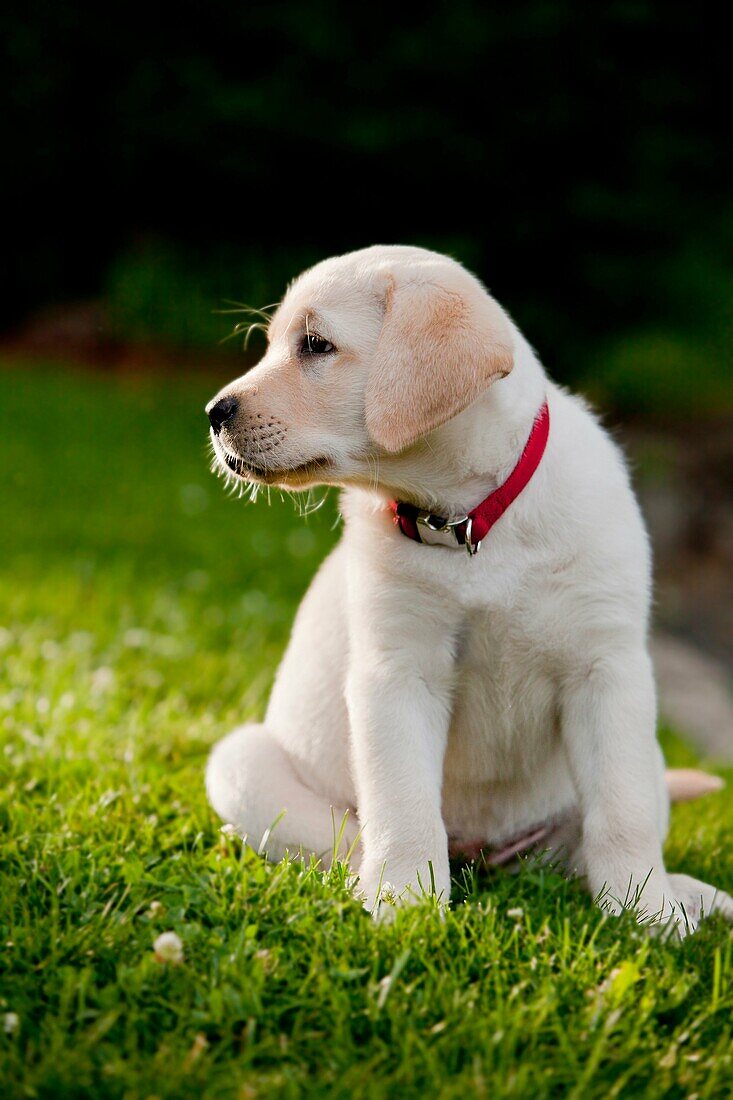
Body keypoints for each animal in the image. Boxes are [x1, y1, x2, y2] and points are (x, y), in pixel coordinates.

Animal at [202, 245, 726, 932]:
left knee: (582, 846)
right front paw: (407, 905)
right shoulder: (398, 671)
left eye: (315, 345)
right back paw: (377, 884)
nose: (213, 414)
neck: (469, 520)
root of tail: (482, 852)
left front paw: (647, 914)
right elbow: (403, 806)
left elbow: (623, 812)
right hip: (242, 765)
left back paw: (690, 894)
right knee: (352, 841)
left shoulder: (608, 669)